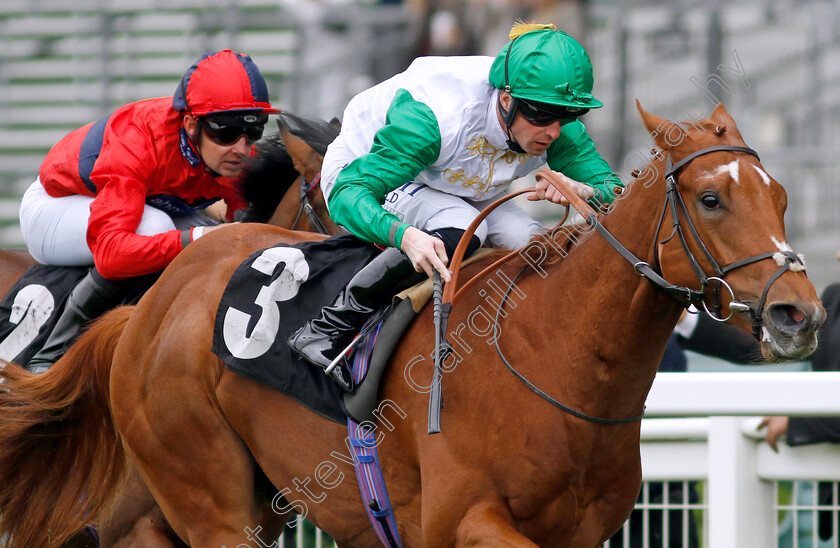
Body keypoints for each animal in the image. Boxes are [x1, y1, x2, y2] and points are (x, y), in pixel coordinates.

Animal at [0, 104, 828, 548]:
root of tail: (149, 309)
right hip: (205, 491)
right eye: (712, 200)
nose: (800, 313)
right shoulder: (461, 521)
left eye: (782, 195)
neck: (558, 359)